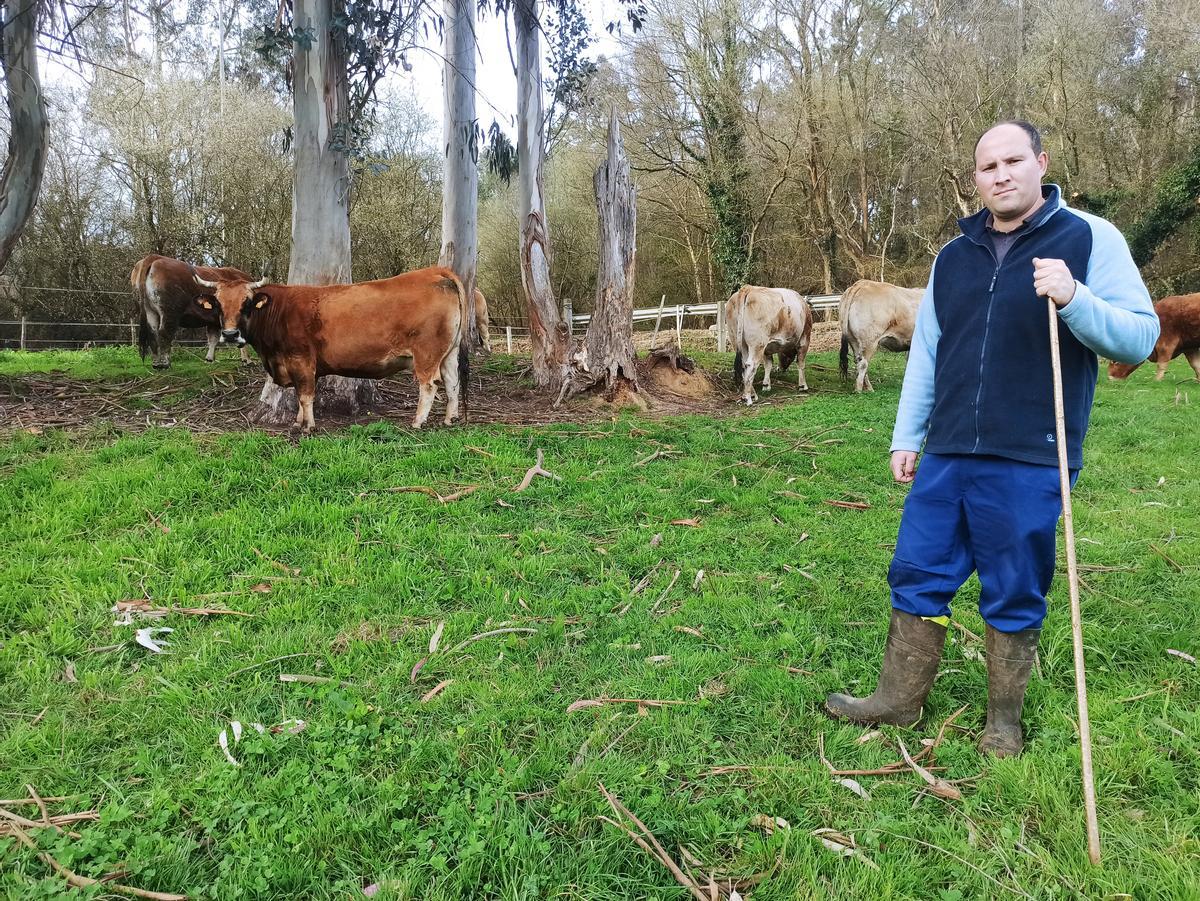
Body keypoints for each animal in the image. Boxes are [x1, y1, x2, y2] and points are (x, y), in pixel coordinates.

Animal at [193, 266, 468, 431]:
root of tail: (435, 271)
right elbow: (299, 395)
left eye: (246, 303)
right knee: (452, 381)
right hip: (449, 353)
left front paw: (309, 426)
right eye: (218, 304)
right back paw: (450, 418)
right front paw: (298, 422)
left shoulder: (301, 360)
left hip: (426, 354)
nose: (230, 334)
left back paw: (418, 421)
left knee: (429, 385)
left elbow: (305, 395)